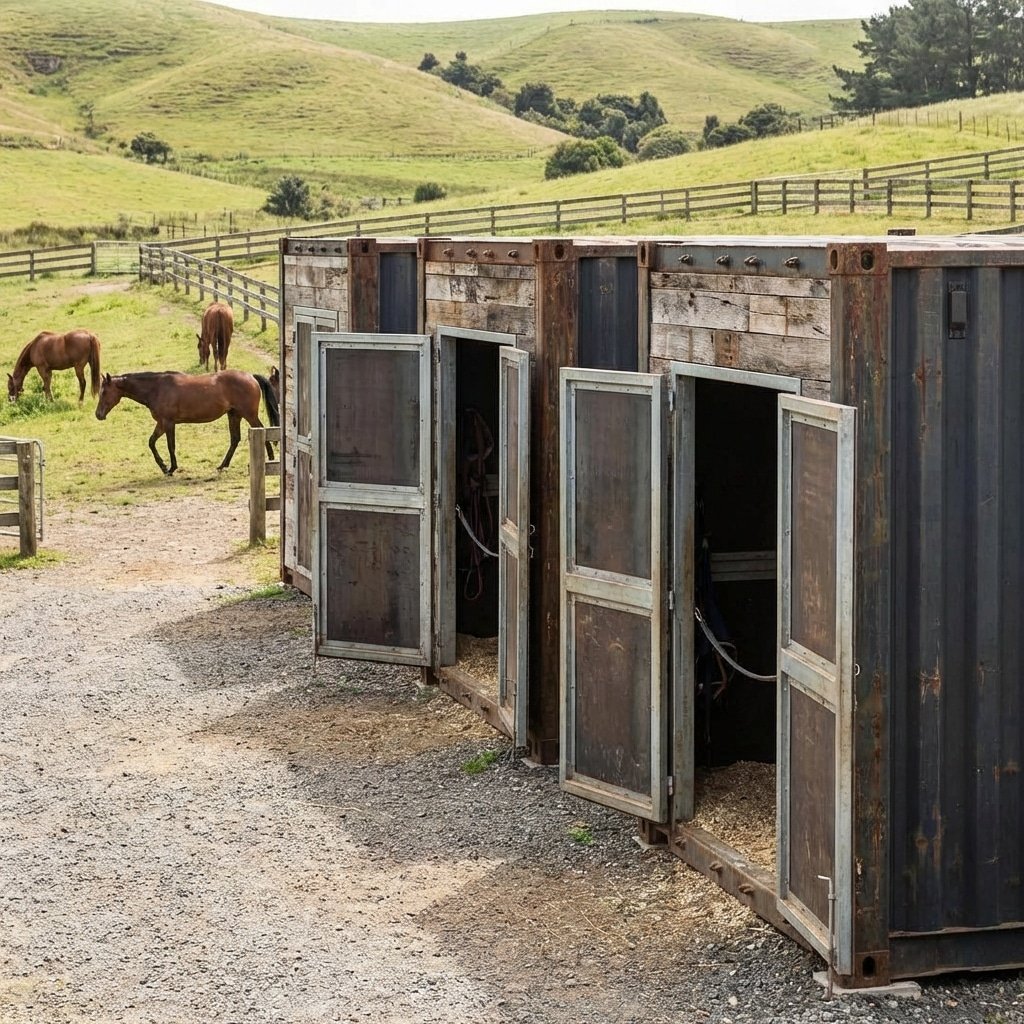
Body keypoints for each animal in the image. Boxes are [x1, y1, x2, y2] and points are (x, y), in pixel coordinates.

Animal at [95, 369, 280, 476]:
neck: (157, 388)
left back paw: (270, 459)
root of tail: (250, 377)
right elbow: (151, 442)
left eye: (104, 392)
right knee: (235, 439)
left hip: (248, 414)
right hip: (234, 415)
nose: (98, 414)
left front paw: (171, 468)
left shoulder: (168, 423)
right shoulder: (161, 423)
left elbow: (170, 446)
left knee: (261, 429)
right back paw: (222, 466)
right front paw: (163, 466)